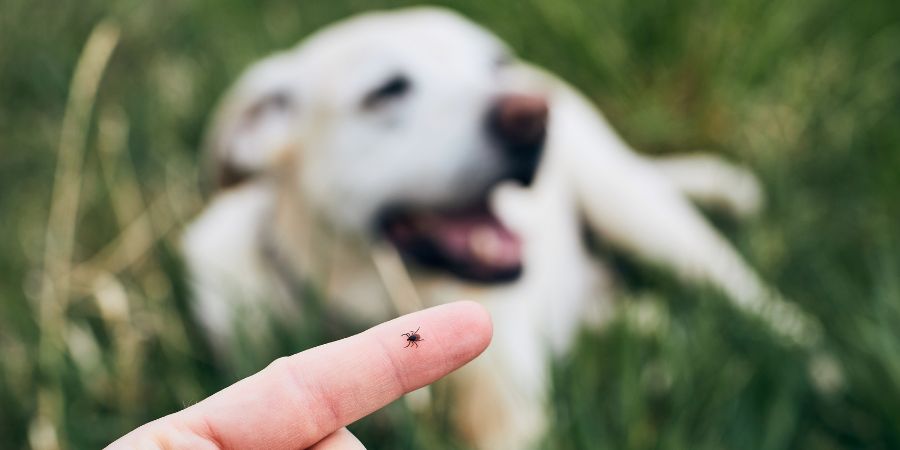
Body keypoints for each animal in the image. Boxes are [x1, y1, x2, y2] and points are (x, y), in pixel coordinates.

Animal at [179, 6, 820, 446]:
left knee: (755, 301)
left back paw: (820, 368)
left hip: (640, 213)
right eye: (386, 91)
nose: (532, 115)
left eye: (495, 64)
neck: (372, 299)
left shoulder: (511, 415)